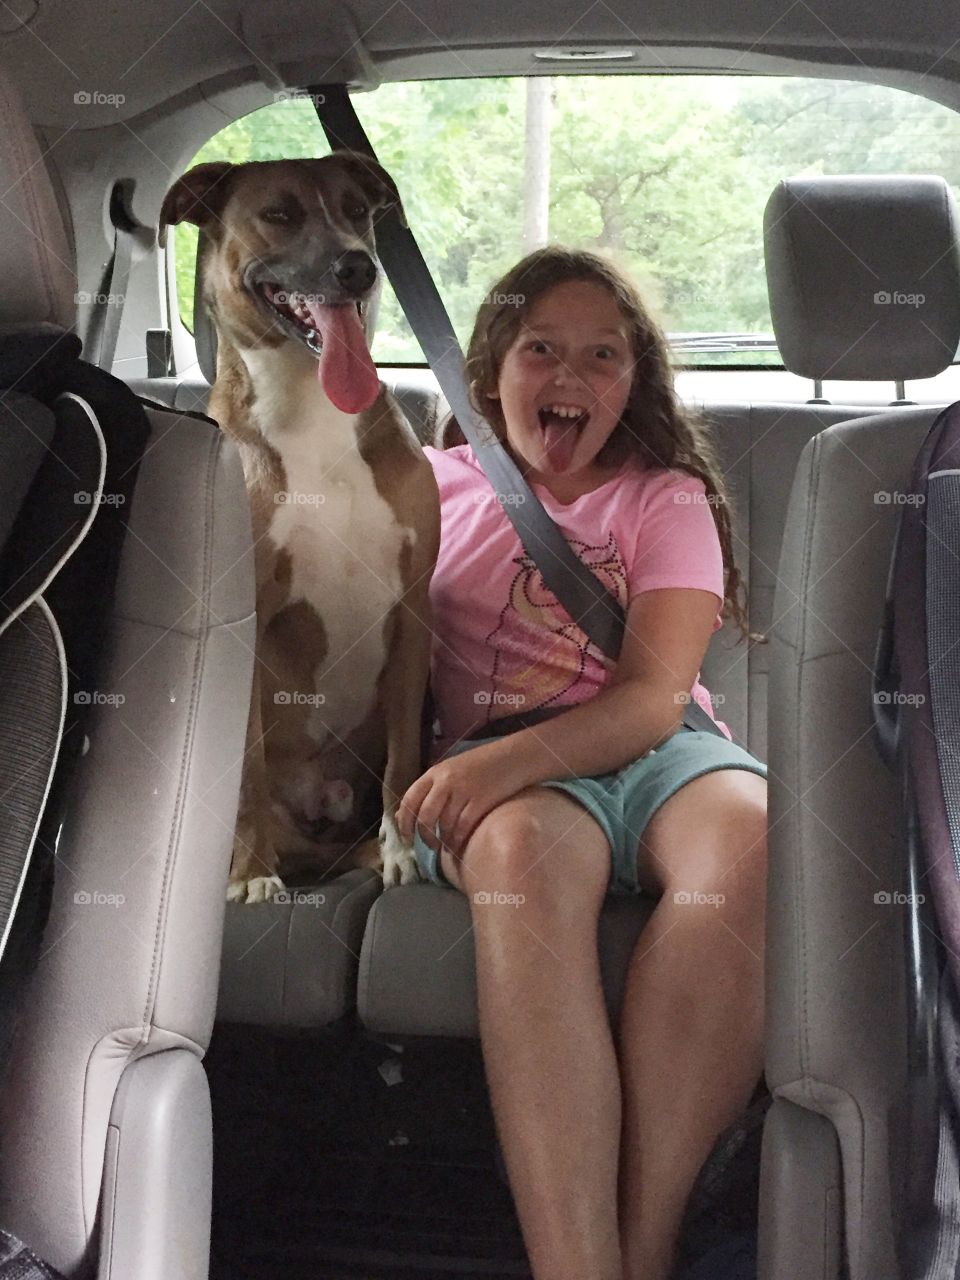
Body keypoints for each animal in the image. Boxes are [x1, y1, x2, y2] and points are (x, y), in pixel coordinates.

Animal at [160, 154, 440, 906]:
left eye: (356, 210)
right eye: (279, 214)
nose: (358, 267)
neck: (314, 405)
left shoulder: (412, 608)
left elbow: (405, 755)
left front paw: (402, 849)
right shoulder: (246, 623)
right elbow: (250, 771)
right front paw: (253, 875)